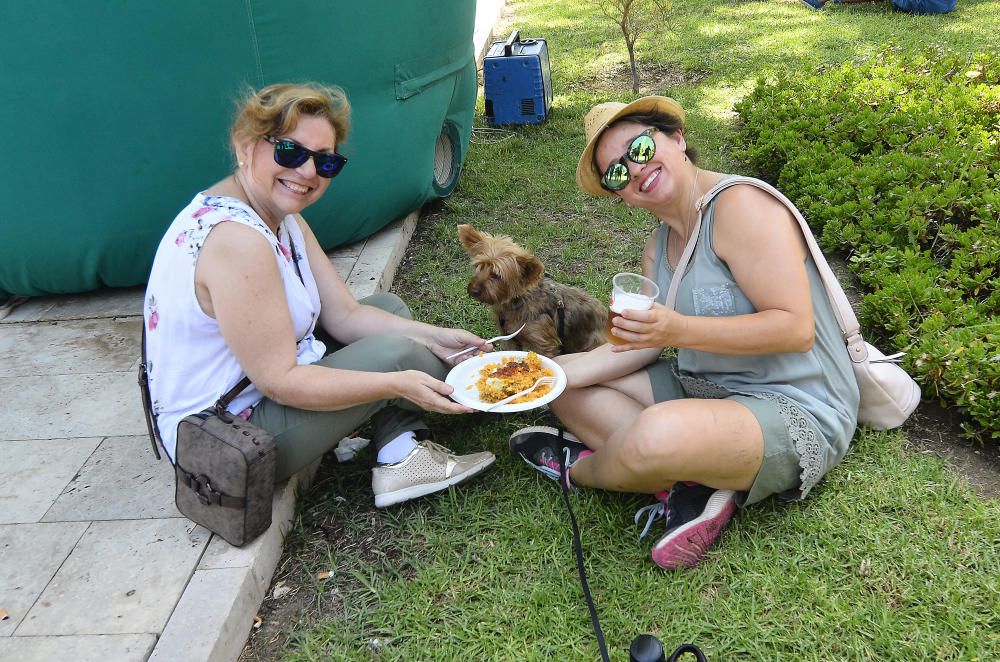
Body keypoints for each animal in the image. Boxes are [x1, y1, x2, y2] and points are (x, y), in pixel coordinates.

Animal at [458, 224, 604, 358]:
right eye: (479, 266)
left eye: (496, 275)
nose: (474, 290)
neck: (516, 302)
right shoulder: (509, 338)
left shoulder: (543, 344)